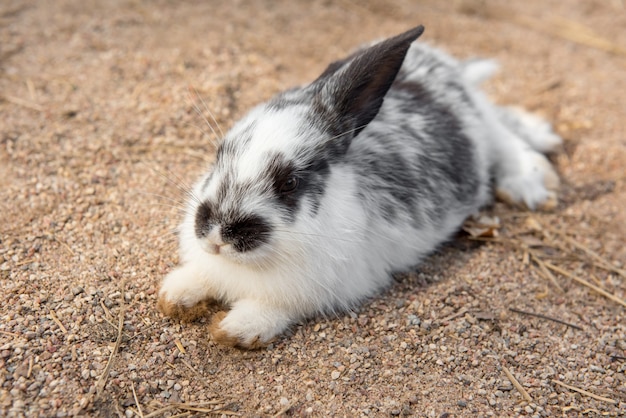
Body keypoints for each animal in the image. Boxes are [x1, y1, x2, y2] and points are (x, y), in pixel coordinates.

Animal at [157, 24, 560, 348]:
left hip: (484, 127)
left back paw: (533, 179)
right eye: (219, 155)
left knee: (504, 134)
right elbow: (199, 277)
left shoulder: (307, 292)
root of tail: (447, 67)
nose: (216, 236)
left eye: (290, 182)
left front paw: (233, 330)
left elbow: (269, 309)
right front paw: (174, 295)